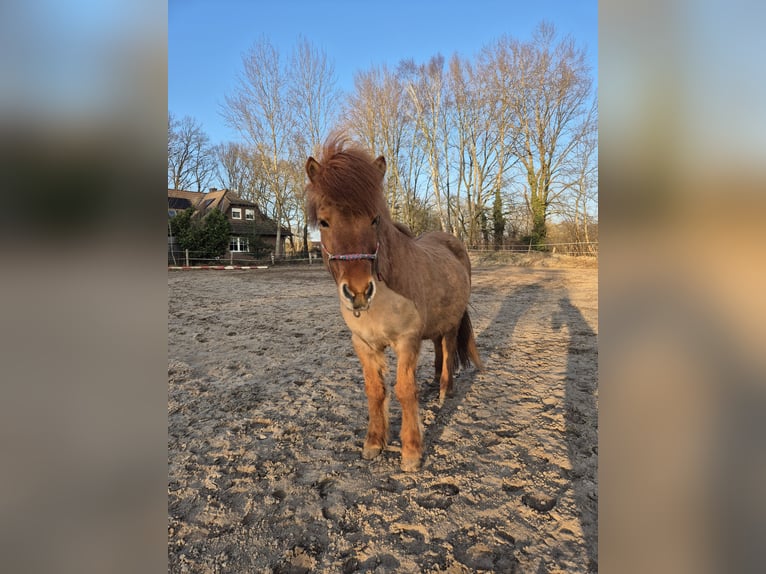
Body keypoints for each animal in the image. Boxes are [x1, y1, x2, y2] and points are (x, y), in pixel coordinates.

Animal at [305, 134, 482, 472]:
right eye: (323, 222)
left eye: (375, 219)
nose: (359, 292)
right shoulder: (364, 344)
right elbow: (376, 391)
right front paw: (374, 442)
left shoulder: (407, 341)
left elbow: (404, 390)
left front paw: (411, 451)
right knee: (439, 348)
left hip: (451, 324)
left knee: (448, 349)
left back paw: (444, 390)